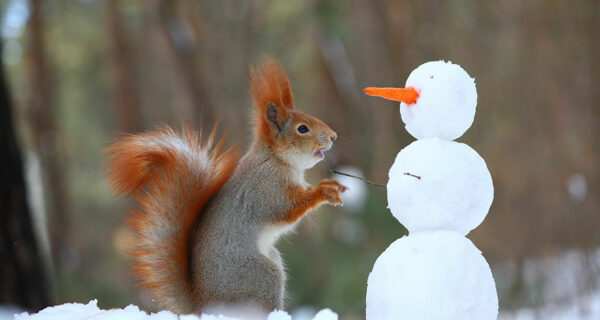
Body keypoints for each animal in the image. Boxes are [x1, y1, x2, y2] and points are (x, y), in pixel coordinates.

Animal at [105, 56, 344, 314]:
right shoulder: (265, 187)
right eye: (302, 129)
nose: (334, 136)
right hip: (261, 277)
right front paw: (323, 191)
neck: (276, 159)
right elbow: (284, 210)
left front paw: (333, 185)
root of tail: (204, 305)